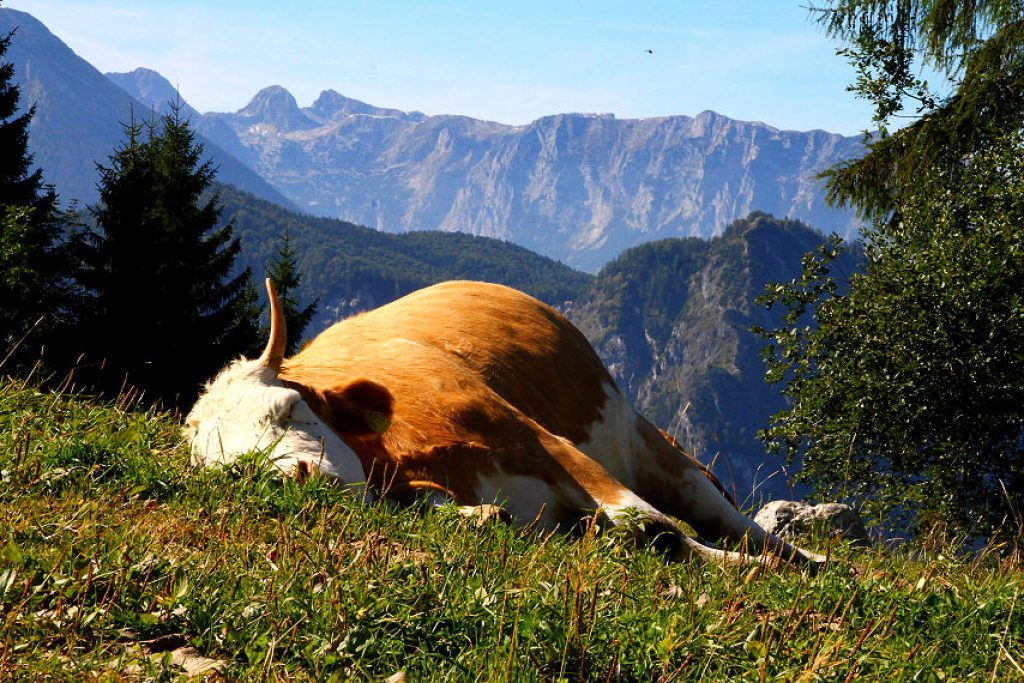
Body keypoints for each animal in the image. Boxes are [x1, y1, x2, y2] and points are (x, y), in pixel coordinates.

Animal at [184, 278, 823, 565]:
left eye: (290, 409)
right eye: (235, 469)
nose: (292, 477)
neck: (409, 460)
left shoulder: (543, 443)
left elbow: (653, 530)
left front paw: (754, 570)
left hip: (645, 443)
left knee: (720, 513)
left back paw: (801, 558)